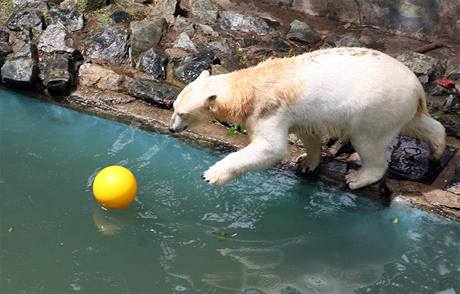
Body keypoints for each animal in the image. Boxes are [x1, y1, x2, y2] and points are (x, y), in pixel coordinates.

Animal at [169, 47, 446, 189]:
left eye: (182, 113)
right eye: (173, 107)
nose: (172, 129)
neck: (251, 87)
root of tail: (417, 88)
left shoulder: (270, 110)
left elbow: (271, 148)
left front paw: (212, 175)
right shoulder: (302, 114)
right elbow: (309, 135)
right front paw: (306, 162)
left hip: (375, 109)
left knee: (369, 143)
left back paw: (357, 178)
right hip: (401, 106)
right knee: (420, 123)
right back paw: (437, 148)